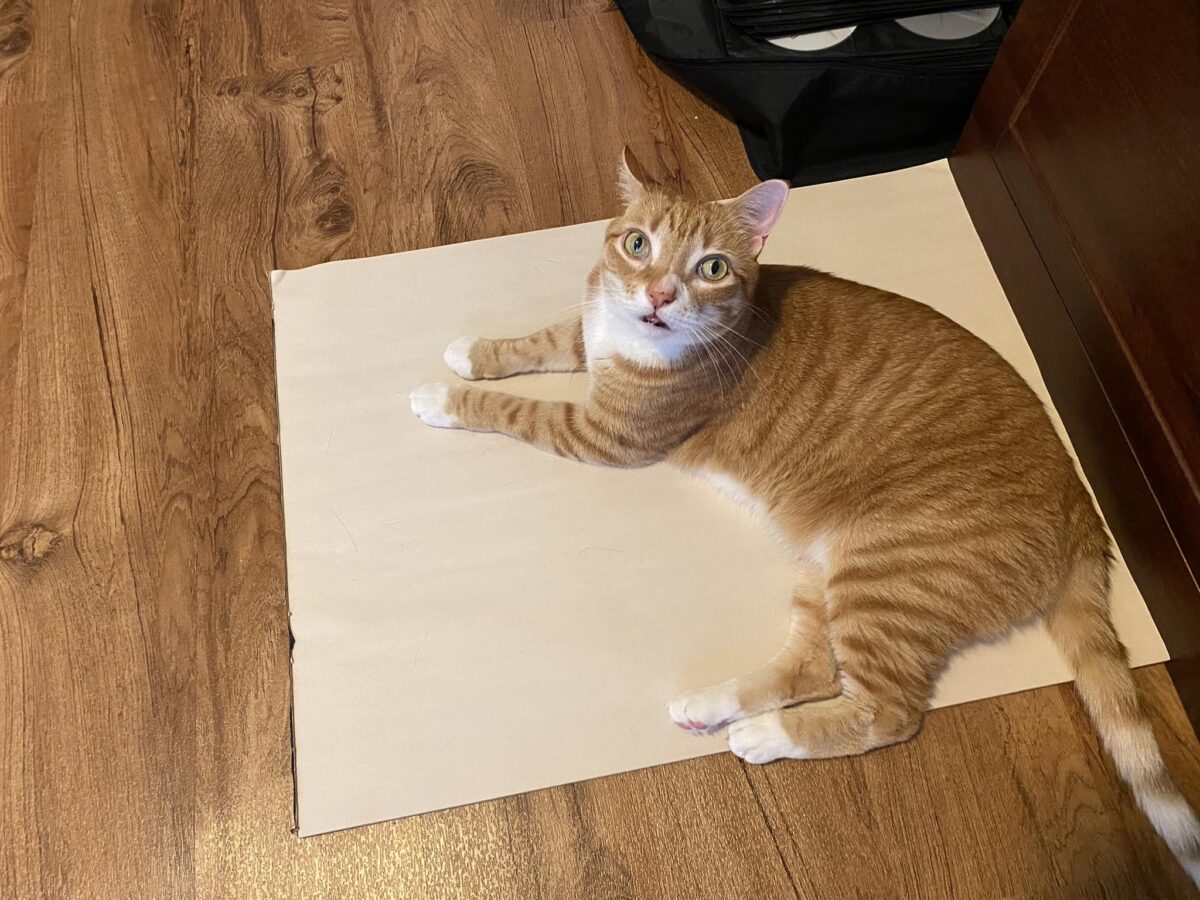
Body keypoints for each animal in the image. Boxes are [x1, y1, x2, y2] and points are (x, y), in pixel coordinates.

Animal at [412, 150, 1200, 883]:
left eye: (711, 268)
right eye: (637, 245)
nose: (660, 295)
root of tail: (1082, 510)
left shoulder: (608, 434)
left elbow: (517, 409)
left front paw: (445, 397)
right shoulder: (592, 331)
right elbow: (547, 339)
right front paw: (475, 350)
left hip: (882, 574)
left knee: (887, 713)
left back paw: (766, 737)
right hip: (825, 573)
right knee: (814, 667)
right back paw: (715, 705)